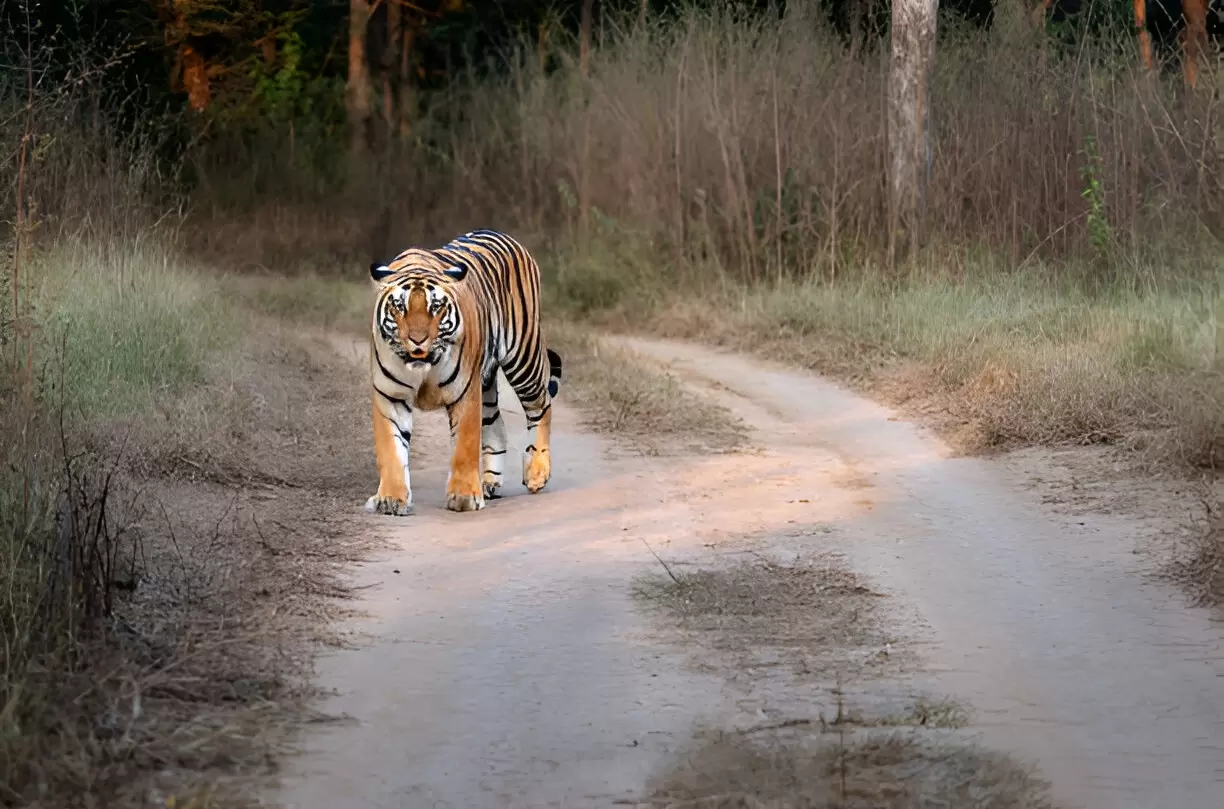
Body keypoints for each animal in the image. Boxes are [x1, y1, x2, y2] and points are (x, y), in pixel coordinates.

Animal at [365, 228, 563, 516]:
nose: (417, 341)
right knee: (497, 425)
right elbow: (390, 450)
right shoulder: (390, 396)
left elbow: (465, 444)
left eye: (435, 307)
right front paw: (390, 499)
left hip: (523, 356)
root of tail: (502, 234)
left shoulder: (464, 391)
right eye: (399, 307)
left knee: (541, 404)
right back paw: (490, 483)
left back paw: (536, 472)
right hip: (488, 382)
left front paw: (464, 497)